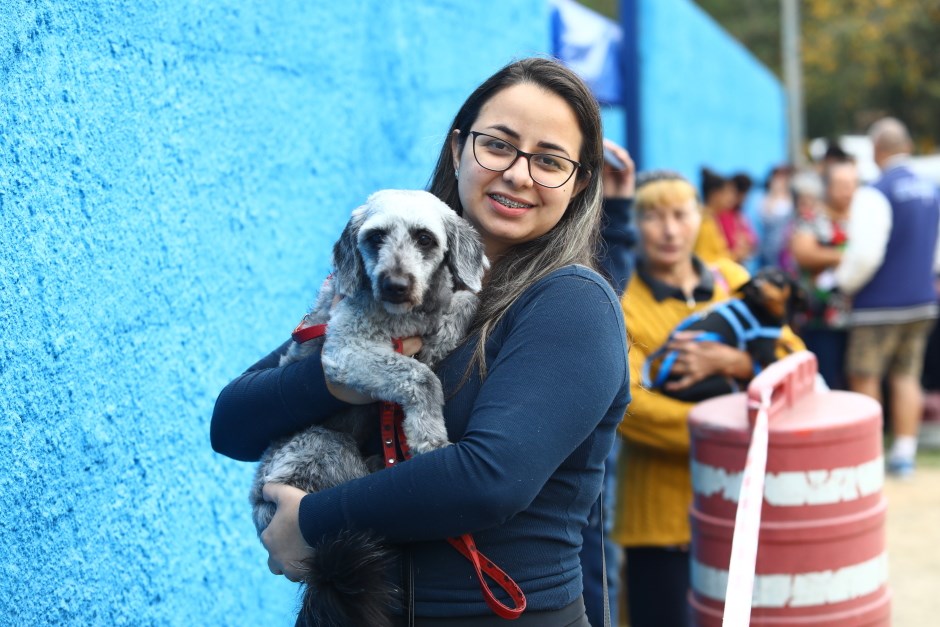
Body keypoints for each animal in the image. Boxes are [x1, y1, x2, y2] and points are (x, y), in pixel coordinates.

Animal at [250, 190, 484, 627]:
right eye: (375, 237)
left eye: (424, 238)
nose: (394, 285)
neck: (406, 317)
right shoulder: (346, 351)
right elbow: (421, 378)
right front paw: (428, 437)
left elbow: (466, 300)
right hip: (320, 446)